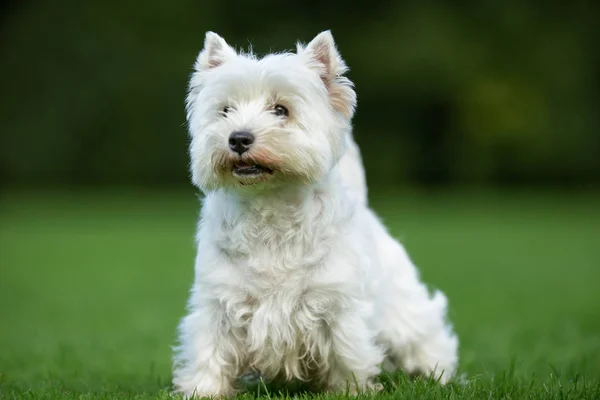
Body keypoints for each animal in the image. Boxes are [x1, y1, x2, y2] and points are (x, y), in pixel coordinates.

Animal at [171, 30, 458, 396]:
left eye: (281, 109)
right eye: (225, 110)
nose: (238, 138)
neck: (270, 208)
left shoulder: (337, 306)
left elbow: (346, 355)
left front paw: (350, 391)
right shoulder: (218, 303)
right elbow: (210, 352)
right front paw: (204, 391)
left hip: (404, 311)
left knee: (424, 339)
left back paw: (438, 376)